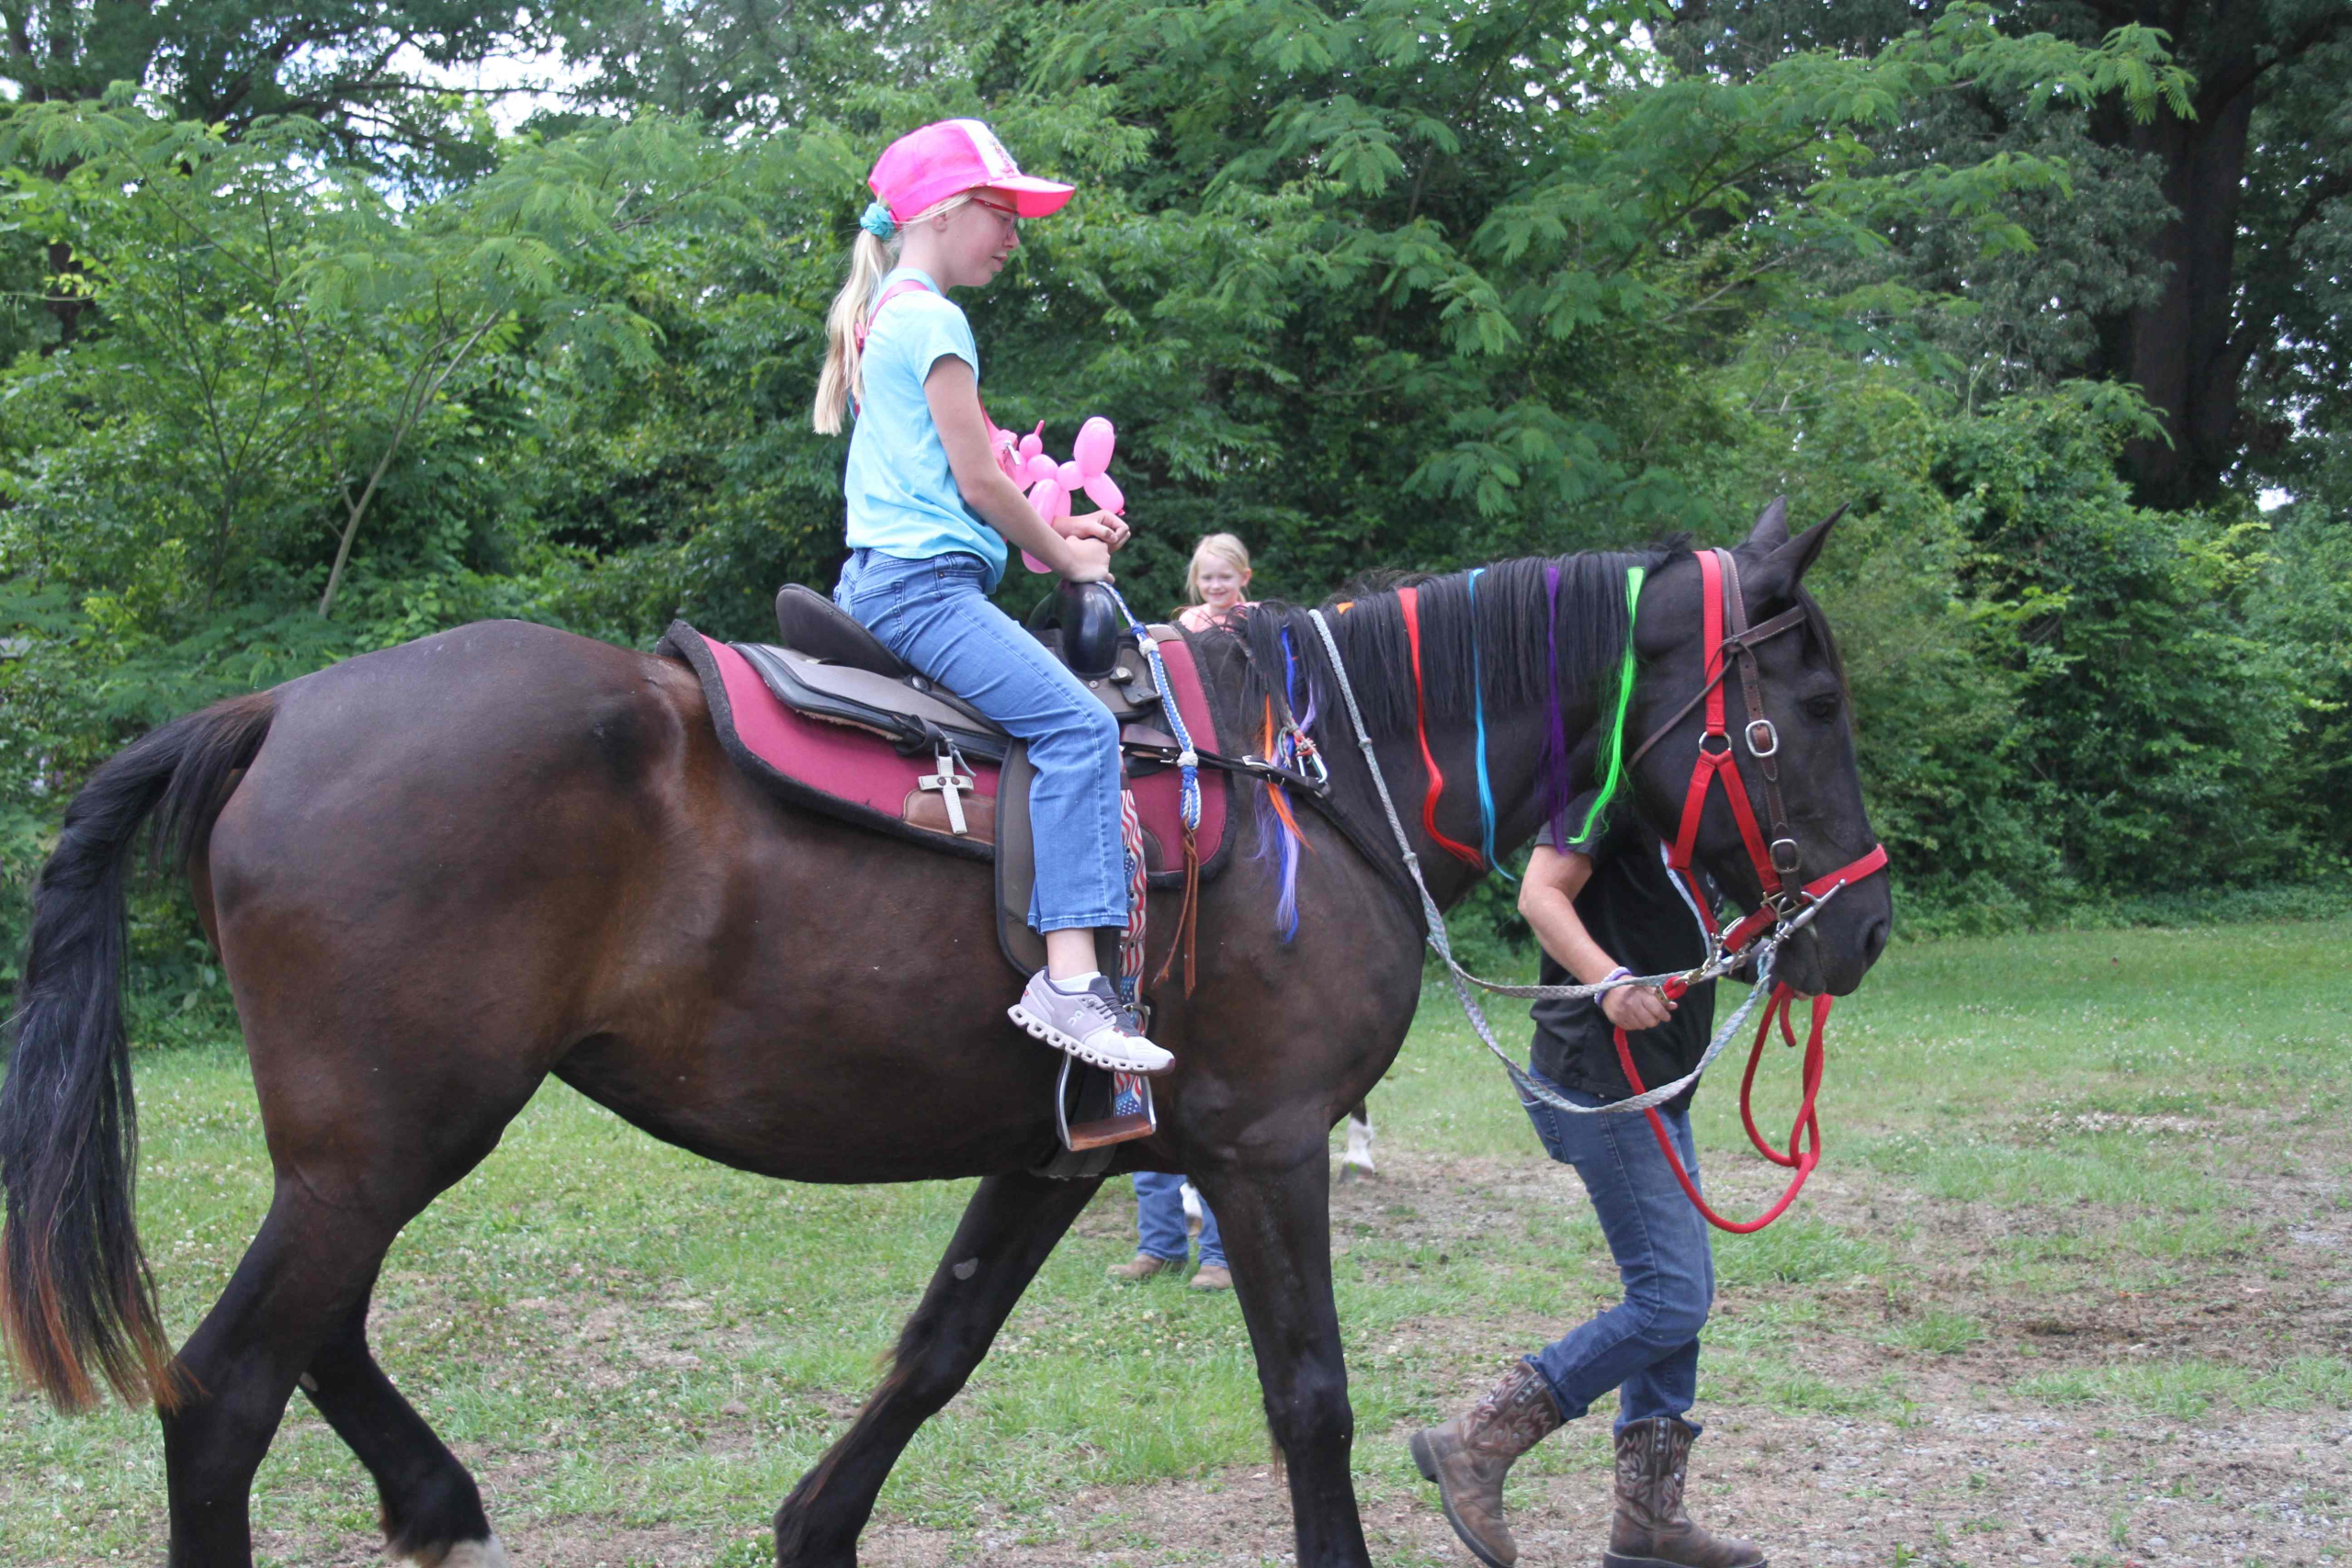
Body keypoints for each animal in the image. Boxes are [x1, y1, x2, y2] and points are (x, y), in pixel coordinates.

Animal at [0, 501, 1891, 1568]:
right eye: (1805, 704)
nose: (1861, 926)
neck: (1308, 778)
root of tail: (280, 710)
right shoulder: (1264, 1150)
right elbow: (1312, 1400)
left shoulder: (1057, 1154)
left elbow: (936, 1349)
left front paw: (812, 1530)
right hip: (383, 1146)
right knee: (222, 1394)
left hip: (369, 1149)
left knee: (312, 1341)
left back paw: (435, 1494)